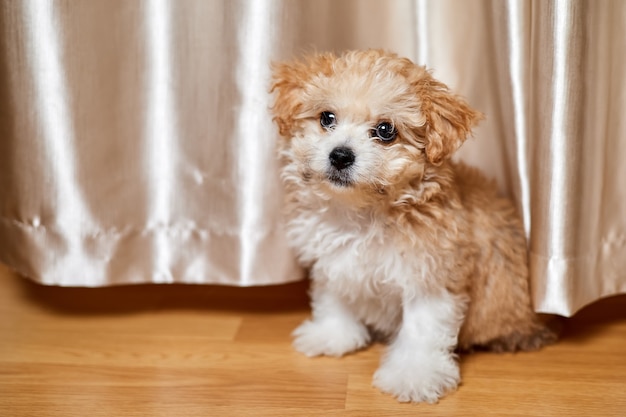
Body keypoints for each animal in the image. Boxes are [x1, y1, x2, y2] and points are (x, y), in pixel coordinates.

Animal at [270, 49, 552, 404]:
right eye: (326, 118)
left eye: (385, 130)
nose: (340, 156)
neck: (363, 213)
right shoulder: (332, 259)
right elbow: (332, 296)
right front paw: (332, 334)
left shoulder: (432, 274)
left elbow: (422, 329)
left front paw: (415, 375)